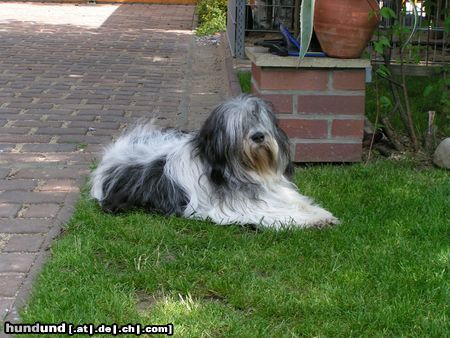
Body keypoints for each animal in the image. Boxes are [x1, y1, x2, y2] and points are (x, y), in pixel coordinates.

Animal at [90, 94, 338, 230]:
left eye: (259, 119)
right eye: (239, 126)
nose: (258, 136)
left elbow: (297, 202)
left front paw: (321, 214)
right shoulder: (235, 210)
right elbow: (278, 214)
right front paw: (309, 220)